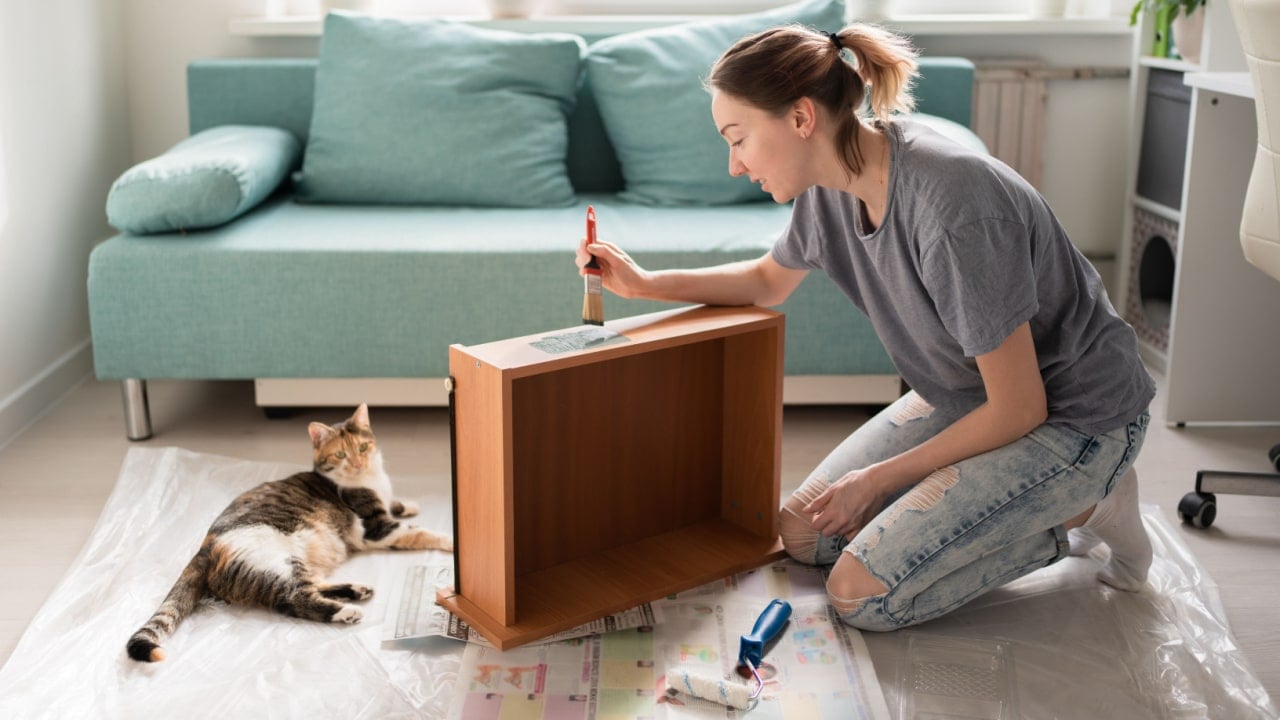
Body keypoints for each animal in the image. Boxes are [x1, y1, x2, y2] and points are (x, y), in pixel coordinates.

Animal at [124, 399, 453, 661]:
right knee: (295, 599)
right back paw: (346, 610)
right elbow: (420, 532)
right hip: (276, 560)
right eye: (340, 456)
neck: (371, 479)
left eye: (363, 447)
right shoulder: (378, 527)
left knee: (309, 586)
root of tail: (205, 548)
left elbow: (398, 505)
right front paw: (450, 540)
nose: (359, 462)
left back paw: (357, 590)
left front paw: (408, 504)